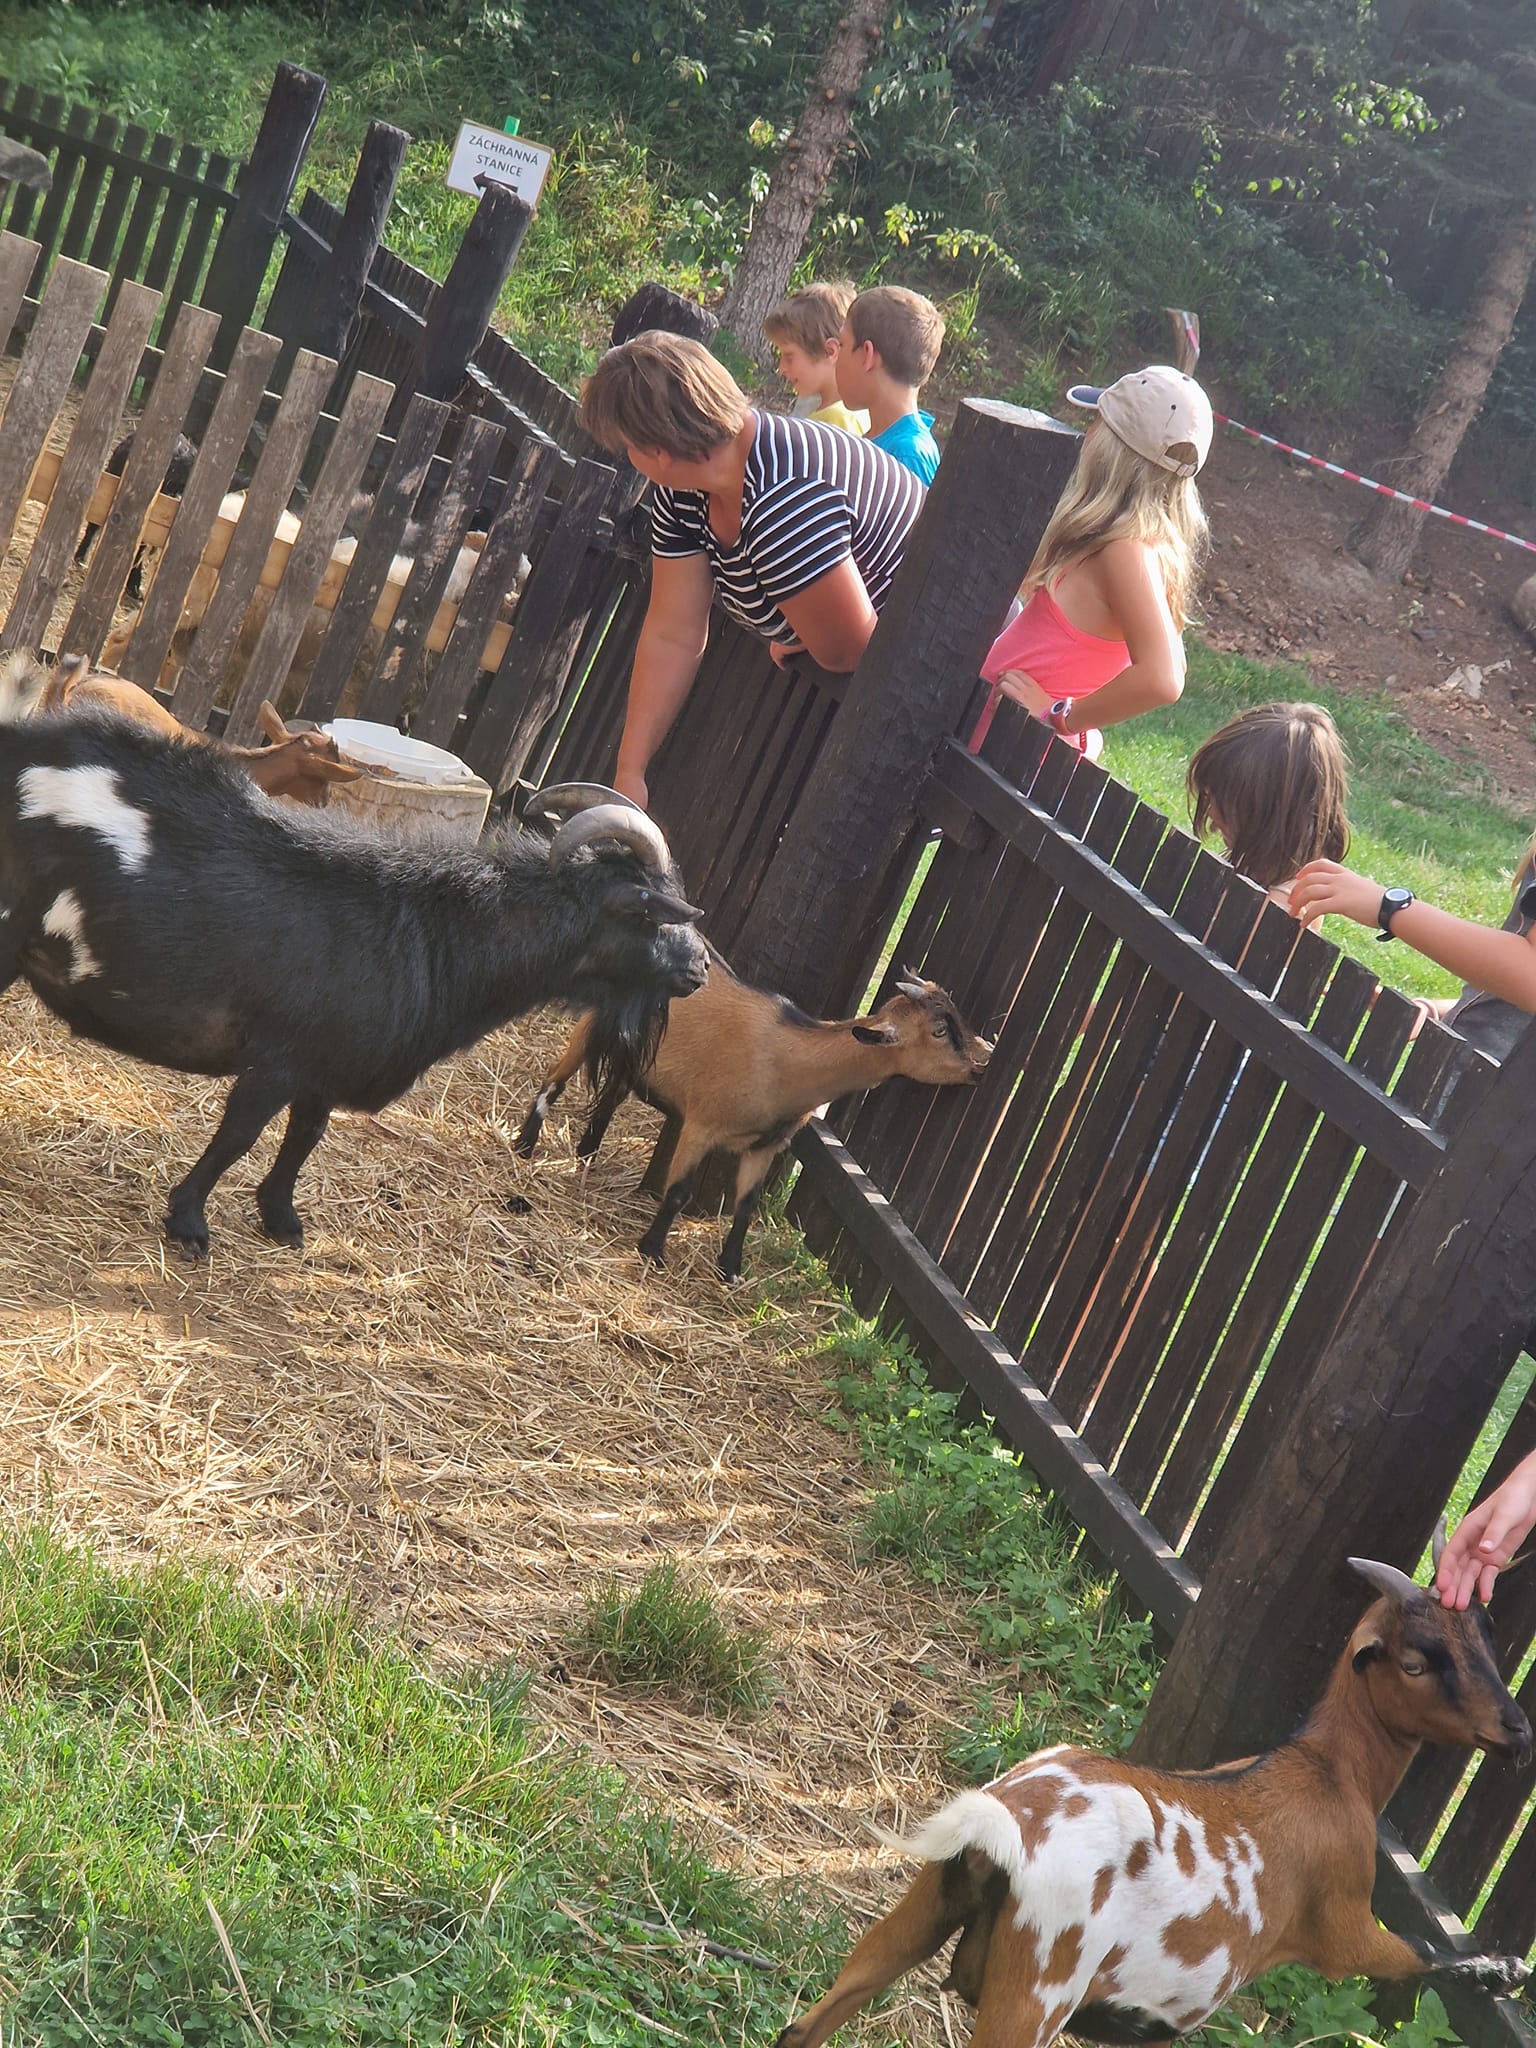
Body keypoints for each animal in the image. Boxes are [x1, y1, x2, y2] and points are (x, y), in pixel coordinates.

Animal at [0, 741, 706, 1258]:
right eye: (649, 910)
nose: (699, 966)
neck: (436, 935)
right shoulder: (277, 1058)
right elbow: (238, 1136)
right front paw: (190, 1224)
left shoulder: (326, 1065)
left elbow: (305, 1136)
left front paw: (282, 1219)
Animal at [517, 953, 990, 1279]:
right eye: (940, 1030)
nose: (982, 1062)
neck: (786, 1059)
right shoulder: (701, 1125)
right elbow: (678, 1192)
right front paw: (652, 1249)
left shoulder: (766, 1147)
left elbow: (745, 1207)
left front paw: (730, 1268)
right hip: (593, 1026)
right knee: (552, 1083)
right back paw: (524, 1146)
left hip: (636, 1054)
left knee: (611, 1095)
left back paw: (586, 1154)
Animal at [776, 1549, 1533, 2048]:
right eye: (1416, 1662)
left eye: (1486, 1634)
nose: (1516, 1730)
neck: (1329, 1770)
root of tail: (1009, 1826)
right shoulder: (1343, 1926)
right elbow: (1415, 1953)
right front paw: (1503, 1971)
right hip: (1037, 1987)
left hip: (925, 1907)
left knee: (804, 2028)